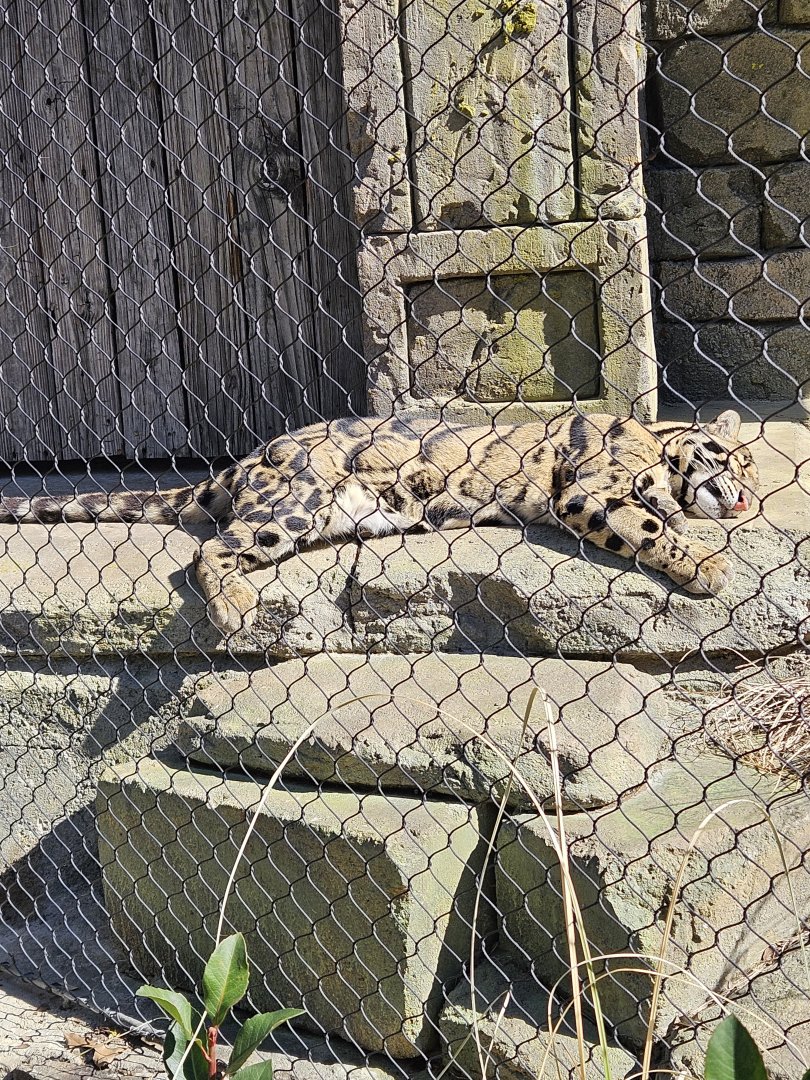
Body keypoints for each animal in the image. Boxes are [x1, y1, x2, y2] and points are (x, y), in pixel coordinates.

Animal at [0, 409, 758, 635]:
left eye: (754, 472)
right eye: (736, 459)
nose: (747, 499)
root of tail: (249, 457)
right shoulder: (586, 490)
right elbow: (650, 527)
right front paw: (707, 563)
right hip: (291, 508)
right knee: (208, 552)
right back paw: (236, 608)